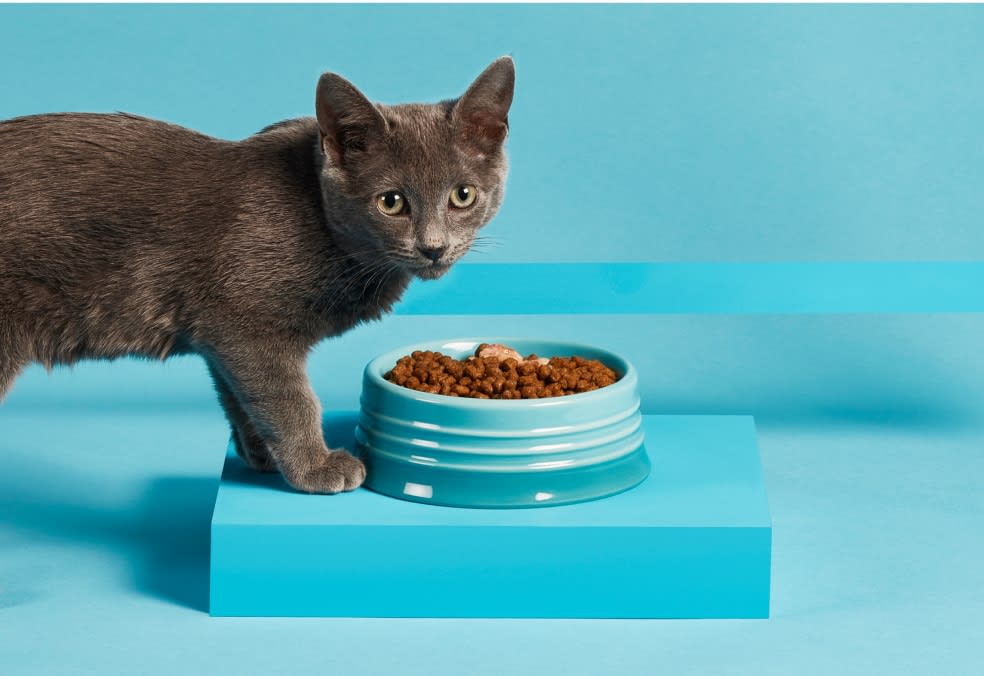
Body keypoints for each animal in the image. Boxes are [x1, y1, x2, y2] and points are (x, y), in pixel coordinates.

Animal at [0, 56, 520, 492]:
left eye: (463, 195)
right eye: (390, 202)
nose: (433, 247)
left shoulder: (217, 335)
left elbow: (238, 394)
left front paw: (262, 454)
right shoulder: (244, 324)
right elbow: (290, 398)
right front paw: (316, 467)